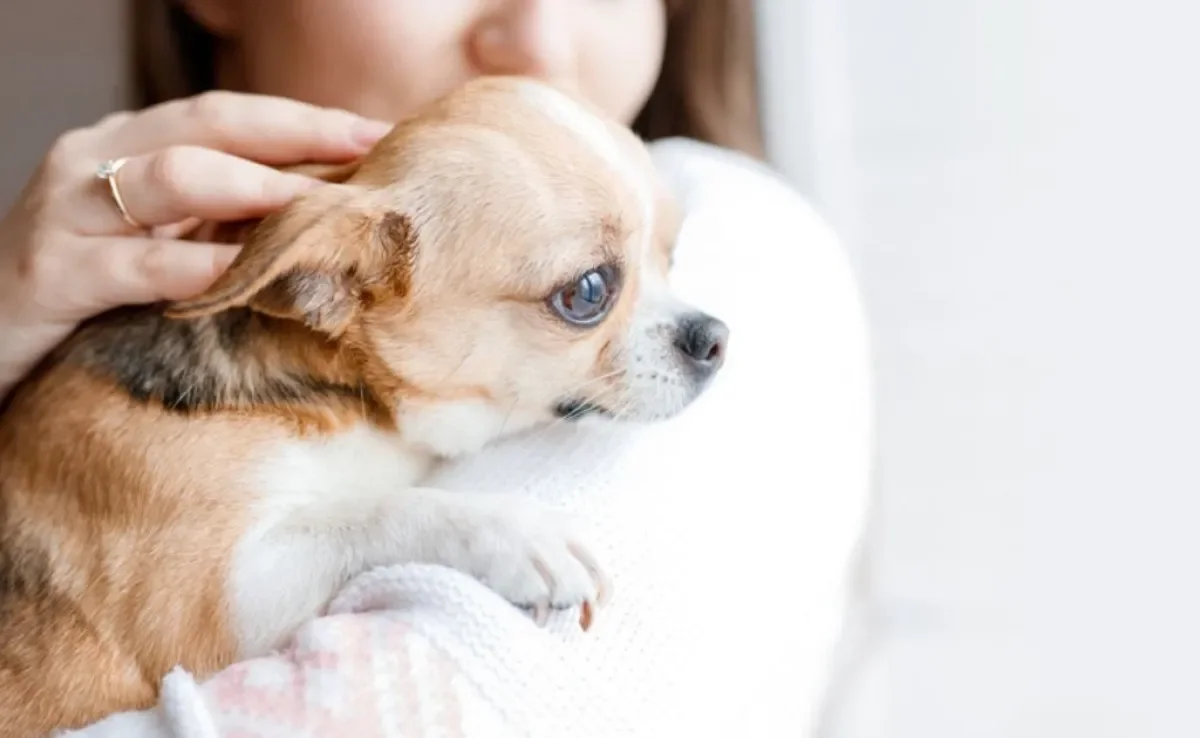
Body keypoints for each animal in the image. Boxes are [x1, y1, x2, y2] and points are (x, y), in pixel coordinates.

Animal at [0, 78, 729, 734]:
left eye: (671, 254)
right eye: (589, 292)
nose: (716, 337)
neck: (360, 411)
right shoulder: (212, 602)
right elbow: (375, 511)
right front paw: (516, 531)